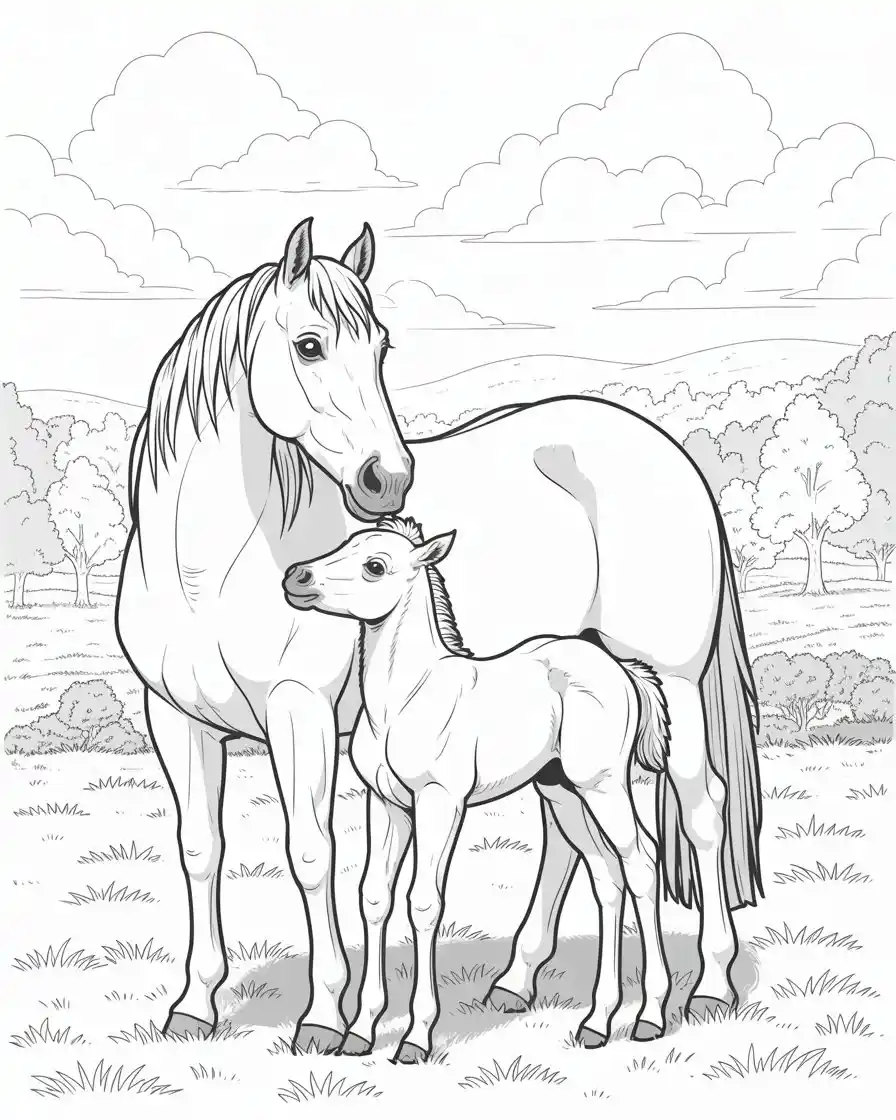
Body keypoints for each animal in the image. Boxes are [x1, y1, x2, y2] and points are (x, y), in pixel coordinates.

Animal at [283, 515, 673, 1063]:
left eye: (375, 566)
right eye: (344, 543)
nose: (296, 577)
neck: (405, 700)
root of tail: (618, 668)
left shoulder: (440, 801)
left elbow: (424, 904)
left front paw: (416, 1037)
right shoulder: (386, 805)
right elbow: (374, 898)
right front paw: (360, 1031)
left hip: (604, 786)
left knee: (641, 863)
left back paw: (650, 1016)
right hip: (563, 793)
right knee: (605, 876)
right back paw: (596, 1023)